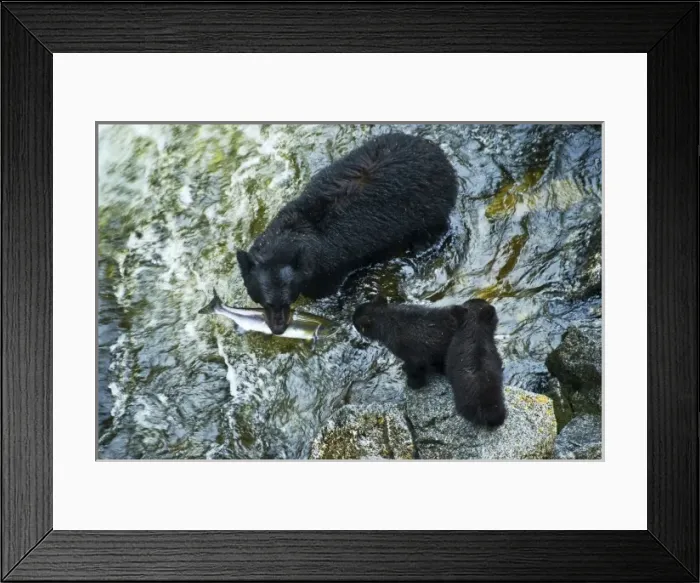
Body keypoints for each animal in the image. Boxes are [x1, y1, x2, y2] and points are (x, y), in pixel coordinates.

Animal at [236, 132, 458, 334]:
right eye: (263, 300)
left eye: (287, 299)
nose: (278, 329)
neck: (294, 232)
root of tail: (436, 151)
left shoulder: (329, 272)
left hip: (431, 212)